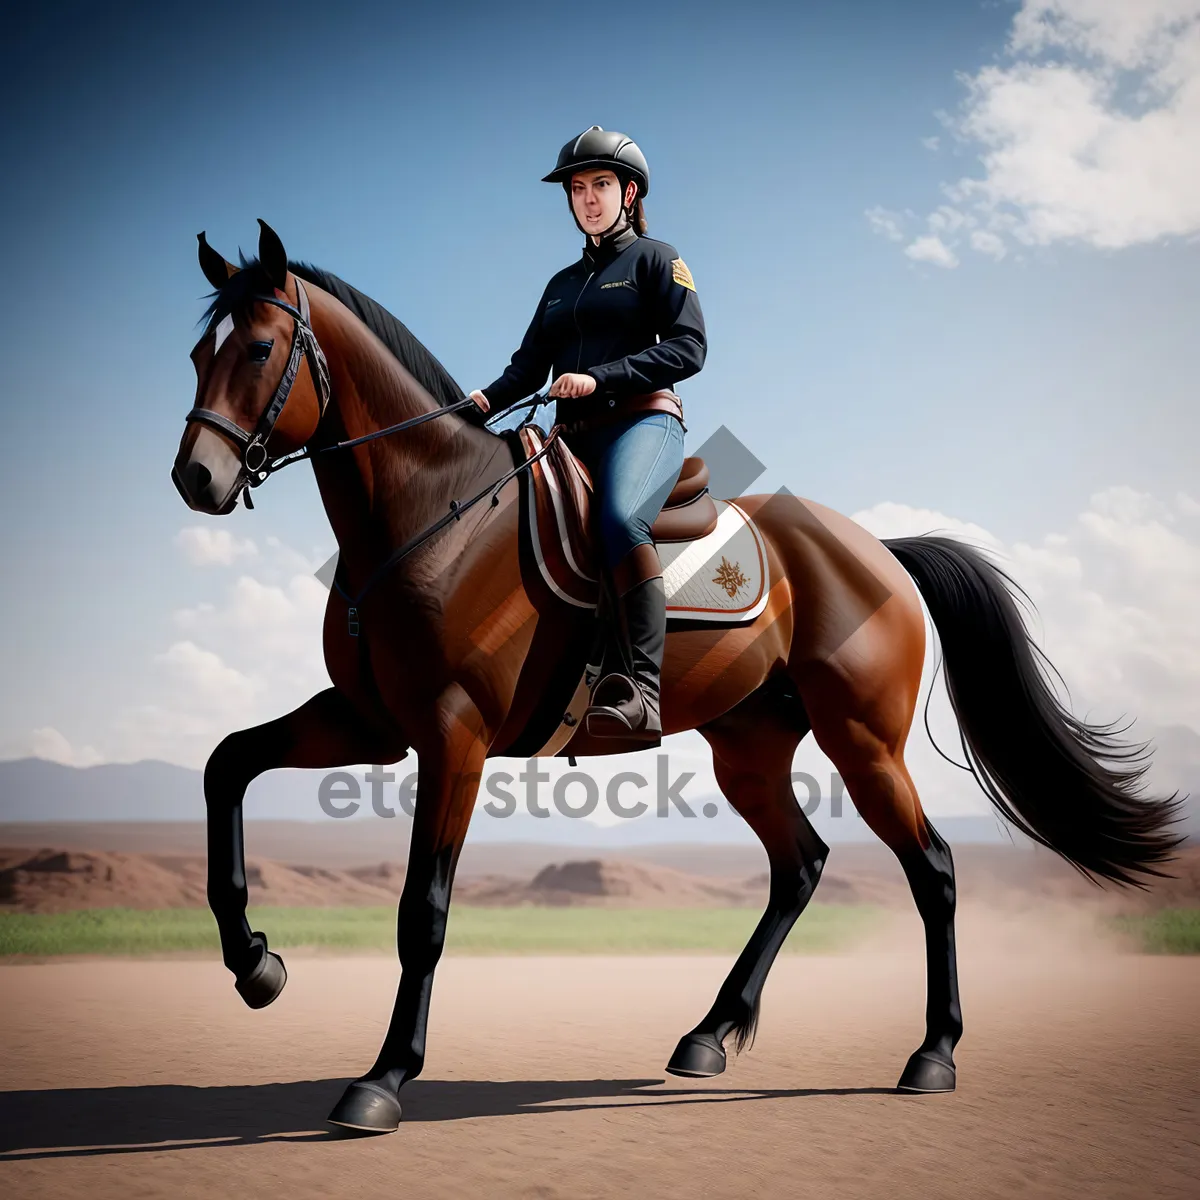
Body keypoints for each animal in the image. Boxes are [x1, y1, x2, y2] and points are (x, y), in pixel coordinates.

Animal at [171, 223, 1180, 1132]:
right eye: (195, 352)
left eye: (258, 348)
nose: (196, 477)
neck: (435, 512)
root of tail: (876, 551)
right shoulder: (373, 721)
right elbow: (227, 765)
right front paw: (256, 966)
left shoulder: (452, 736)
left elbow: (423, 910)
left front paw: (382, 1079)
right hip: (750, 747)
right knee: (801, 865)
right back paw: (710, 1033)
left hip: (864, 743)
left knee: (931, 870)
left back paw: (931, 1055)